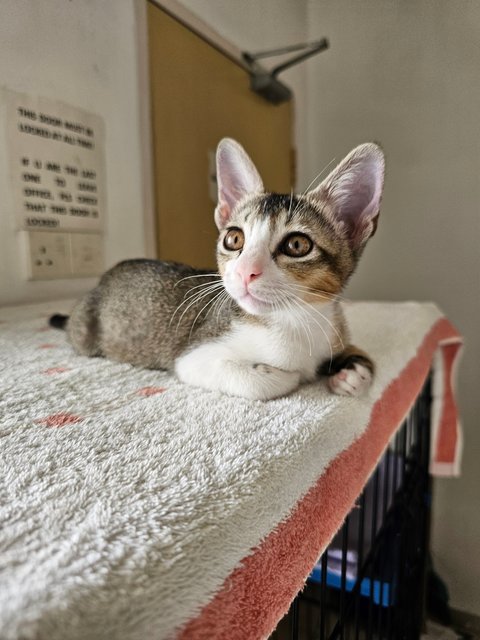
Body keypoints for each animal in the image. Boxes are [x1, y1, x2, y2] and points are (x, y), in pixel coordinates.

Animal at [50, 139, 384, 400]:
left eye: (297, 245)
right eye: (234, 239)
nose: (246, 271)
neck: (292, 321)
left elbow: (364, 359)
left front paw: (351, 373)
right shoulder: (194, 356)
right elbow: (259, 381)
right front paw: (290, 374)